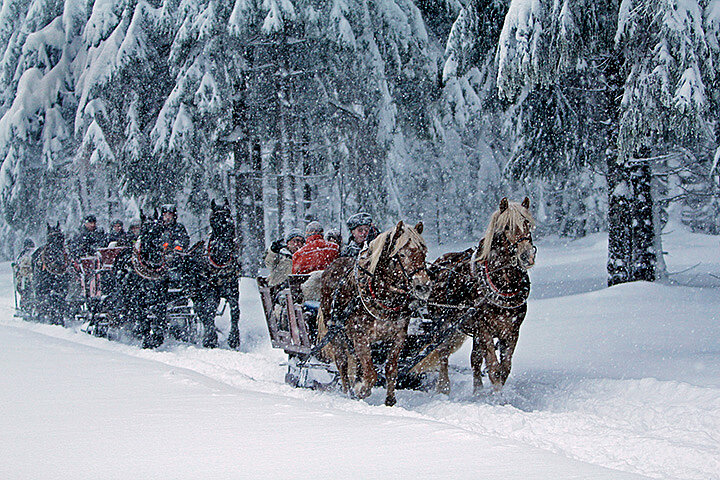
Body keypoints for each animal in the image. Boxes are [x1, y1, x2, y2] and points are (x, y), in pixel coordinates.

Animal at [320, 220, 428, 404]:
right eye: (402, 255)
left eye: (424, 253)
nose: (423, 286)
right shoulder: (361, 336)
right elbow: (371, 374)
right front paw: (361, 390)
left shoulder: (398, 336)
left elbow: (391, 368)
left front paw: (390, 401)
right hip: (336, 332)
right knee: (342, 362)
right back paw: (348, 392)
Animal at [428, 196, 536, 394]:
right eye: (507, 227)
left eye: (527, 224)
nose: (527, 256)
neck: (502, 284)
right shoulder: (484, 329)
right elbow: (493, 367)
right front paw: (497, 395)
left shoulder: (511, 330)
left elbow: (504, 367)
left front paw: (495, 392)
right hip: (443, 325)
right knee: (443, 354)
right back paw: (444, 386)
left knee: (475, 359)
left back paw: (477, 390)